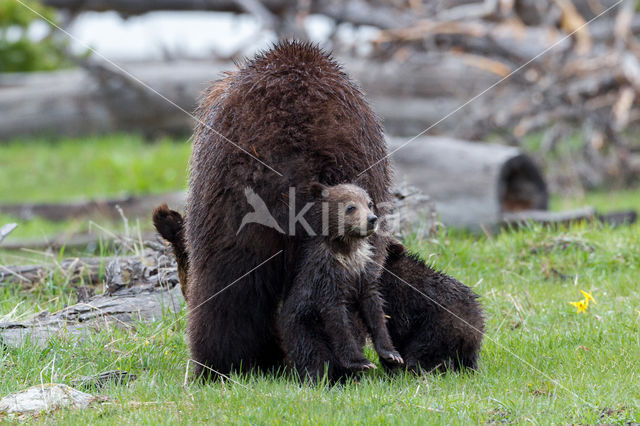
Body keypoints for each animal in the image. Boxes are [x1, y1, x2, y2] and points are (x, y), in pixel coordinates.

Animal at [278, 181, 402, 382]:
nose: (372, 219)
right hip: (302, 326)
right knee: (312, 354)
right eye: (351, 207)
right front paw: (361, 362)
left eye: (369, 203)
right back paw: (317, 378)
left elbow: (374, 310)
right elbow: (337, 321)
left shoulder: (363, 273)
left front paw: (391, 354)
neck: (346, 252)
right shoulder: (327, 277)